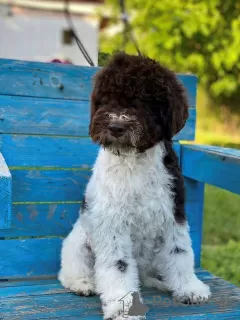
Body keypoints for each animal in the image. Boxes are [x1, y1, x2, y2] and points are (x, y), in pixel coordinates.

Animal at [59, 53, 211, 320]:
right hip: (79, 243)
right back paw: (83, 284)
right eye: (107, 99)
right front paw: (123, 308)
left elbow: (180, 251)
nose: (116, 128)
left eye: (144, 102)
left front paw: (189, 288)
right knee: (69, 270)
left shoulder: (173, 213)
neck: (134, 160)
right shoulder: (113, 223)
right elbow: (117, 266)